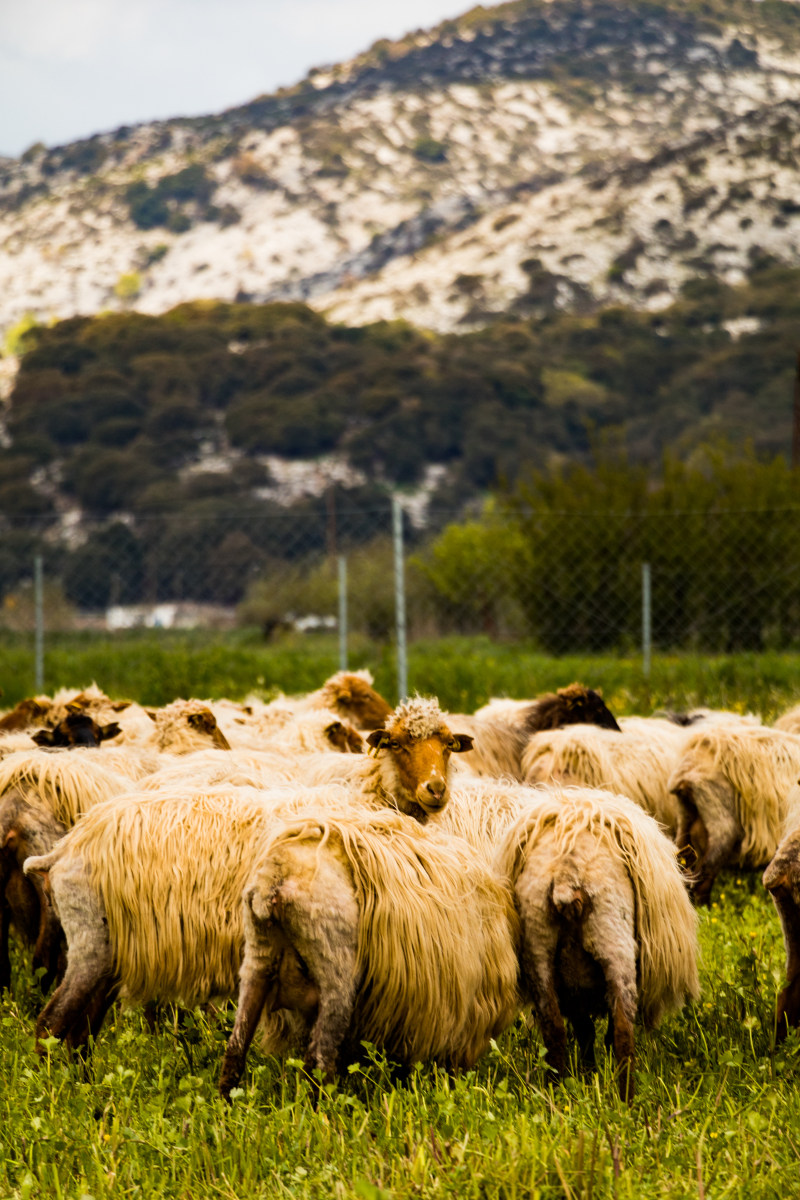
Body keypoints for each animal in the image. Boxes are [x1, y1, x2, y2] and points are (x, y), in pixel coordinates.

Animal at [219, 806, 520, 1099]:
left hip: (258, 957)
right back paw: (325, 1108)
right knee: (319, 1059)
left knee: (236, 1046)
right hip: (335, 970)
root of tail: (277, 875)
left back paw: (227, 1101)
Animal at [494, 782, 700, 1099]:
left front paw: (587, 1074)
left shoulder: (574, 986)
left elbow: (585, 1033)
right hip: (615, 943)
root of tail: (566, 871)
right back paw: (626, 1100)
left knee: (554, 1029)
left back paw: (557, 1092)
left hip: (537, 947)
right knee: (623, 1032)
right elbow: (605, 1033)